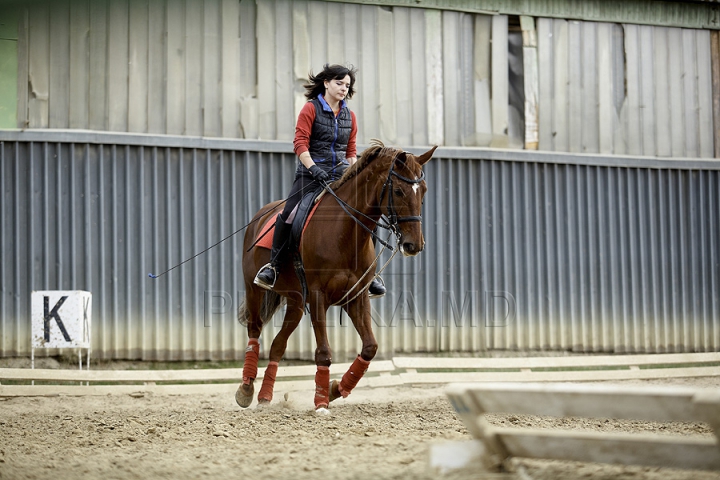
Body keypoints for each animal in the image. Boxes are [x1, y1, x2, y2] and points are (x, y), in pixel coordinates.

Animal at [239, 141, 436, 410]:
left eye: (423, 191)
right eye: (397, 191)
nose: (414, 245)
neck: (344, 231)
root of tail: (260, 216)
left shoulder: (356, 297)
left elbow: (370, 348)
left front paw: (335, 389)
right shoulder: (318, 296)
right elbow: (323, 352)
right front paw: (322, 401)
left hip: (296, 301)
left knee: (278, 345)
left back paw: (265, 397)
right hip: (254, 289)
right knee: (254, 330)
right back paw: (246, 390)